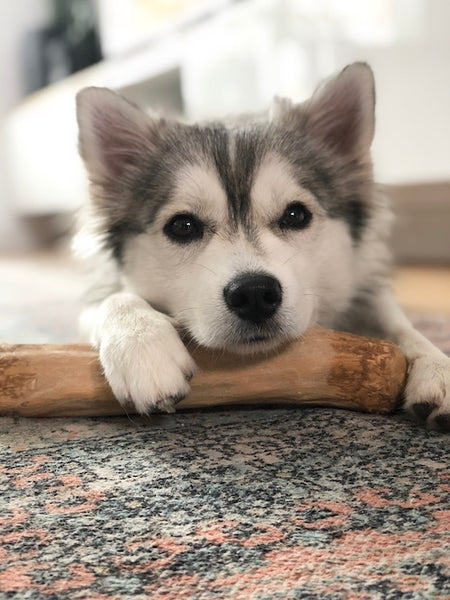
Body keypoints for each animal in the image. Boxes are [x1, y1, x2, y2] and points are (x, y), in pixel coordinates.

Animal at [74, 62, 450, 432]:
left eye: (296, 215)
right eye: (182, 226)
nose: (254, 293)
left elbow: (398, 323)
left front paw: (436, 364)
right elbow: (113, 299)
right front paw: (141, 343)